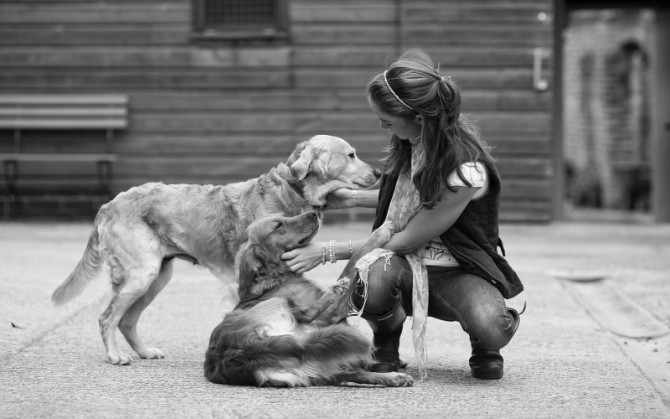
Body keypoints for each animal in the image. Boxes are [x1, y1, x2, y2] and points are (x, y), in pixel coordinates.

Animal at [50, 136, 380, 366]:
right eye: (351, 155)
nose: (378, 172)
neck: (291, 190)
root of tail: (108, 204)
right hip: (142, 275)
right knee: (107, 318)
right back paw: (115, 356)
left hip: (157, 277)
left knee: (127, 321)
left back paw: (144, 351)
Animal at [205, 212, 414, 388]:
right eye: (278, 225)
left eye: (283, 215)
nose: (313, 213)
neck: (274, 276)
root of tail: (245, 351)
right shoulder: (331, 314)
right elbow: (355, 258)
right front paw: (380, 232)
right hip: (282, 305)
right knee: (310, 312)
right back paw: (333, 290)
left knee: (354, 373)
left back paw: (394, 377)